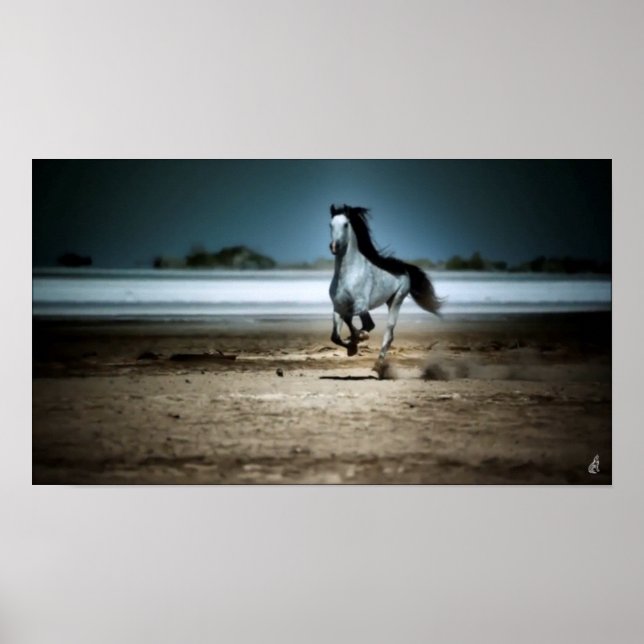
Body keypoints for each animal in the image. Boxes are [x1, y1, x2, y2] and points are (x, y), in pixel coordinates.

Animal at [328, 204, 442, 375]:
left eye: (346, 224)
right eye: (330, 224)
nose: (334, 246)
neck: (347, 275)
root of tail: (404, 268)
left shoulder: (361, 305)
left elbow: (363, 323)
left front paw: (358, 340)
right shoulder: (338, 307)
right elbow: (335, 336)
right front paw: (352, 346)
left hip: (397, 300)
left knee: (388, 333)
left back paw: (377, 365)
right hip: (387, 301)